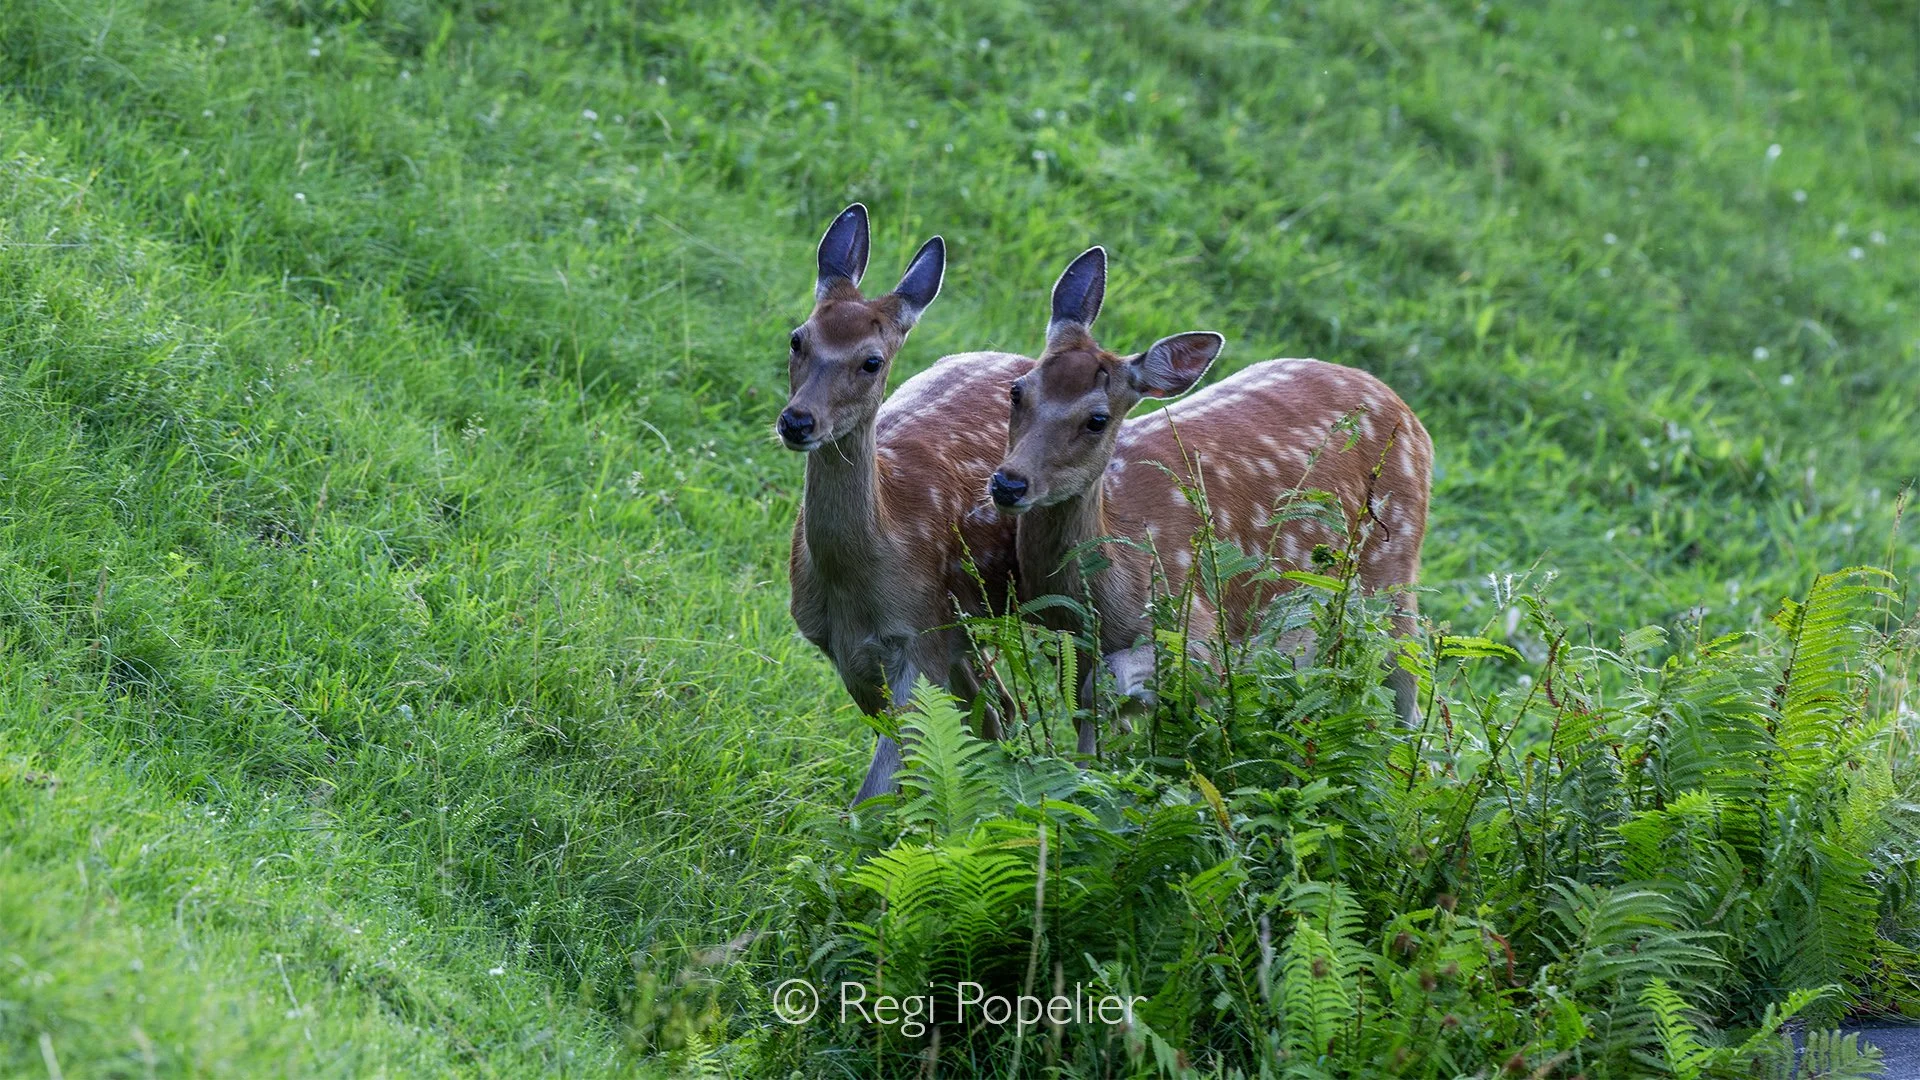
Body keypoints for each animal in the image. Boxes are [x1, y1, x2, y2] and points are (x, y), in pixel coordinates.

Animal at [782, 205, 1036, 804]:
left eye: (872, 361)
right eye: (798, 338)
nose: (798, 421)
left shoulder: (918, 639)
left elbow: (881, 785)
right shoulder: (843, 646)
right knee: (994, 706)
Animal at [987, 247, 1431, 755]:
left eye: (1097, 419)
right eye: (1017, 390)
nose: (1009, 484)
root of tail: (1409, 414)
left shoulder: (1198, 634)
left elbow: (1112, 688)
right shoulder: (1070, 642)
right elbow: (1088, 708)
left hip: (1393, 575)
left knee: (1408, 698)